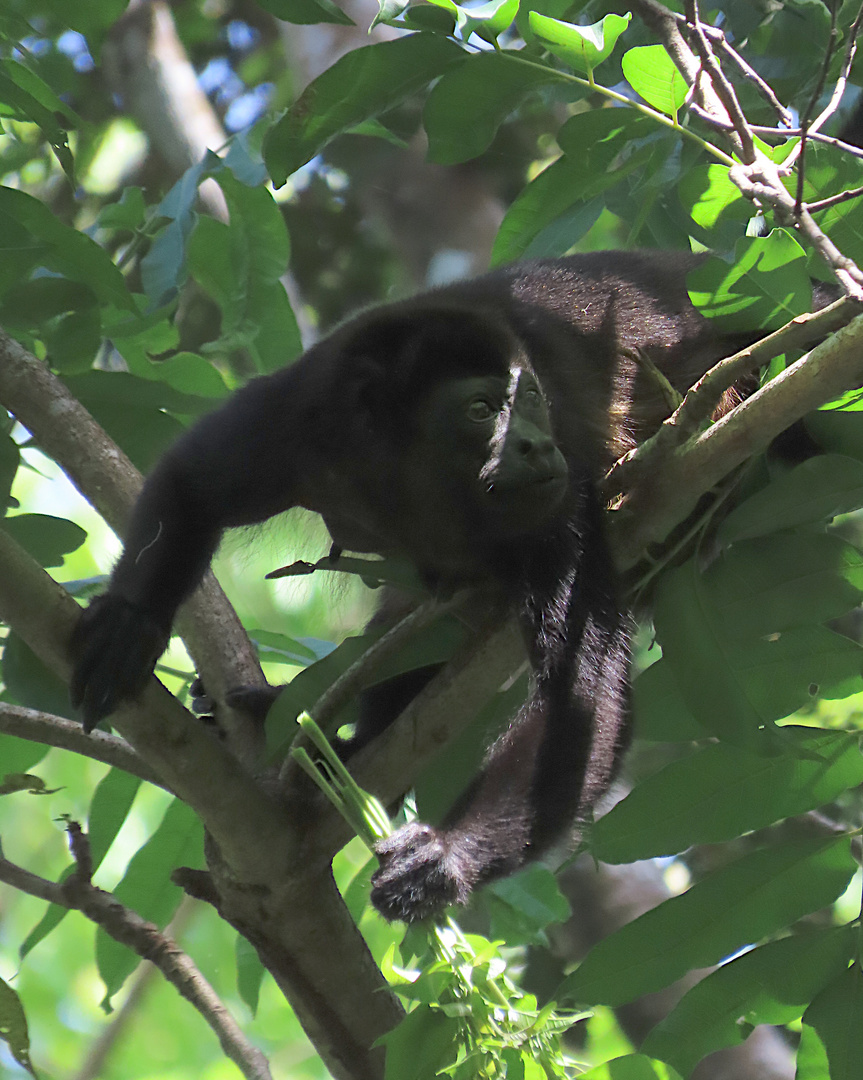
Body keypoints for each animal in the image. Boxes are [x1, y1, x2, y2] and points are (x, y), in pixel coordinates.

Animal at [72, 250, 747, 920]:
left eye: (531, 398)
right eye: (481, 410)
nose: (537, 444)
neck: (406, 473)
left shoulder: (561, 504)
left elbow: (579, 690)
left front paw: (449, 856)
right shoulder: (293, 417)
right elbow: (191, 481)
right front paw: (130, 623)